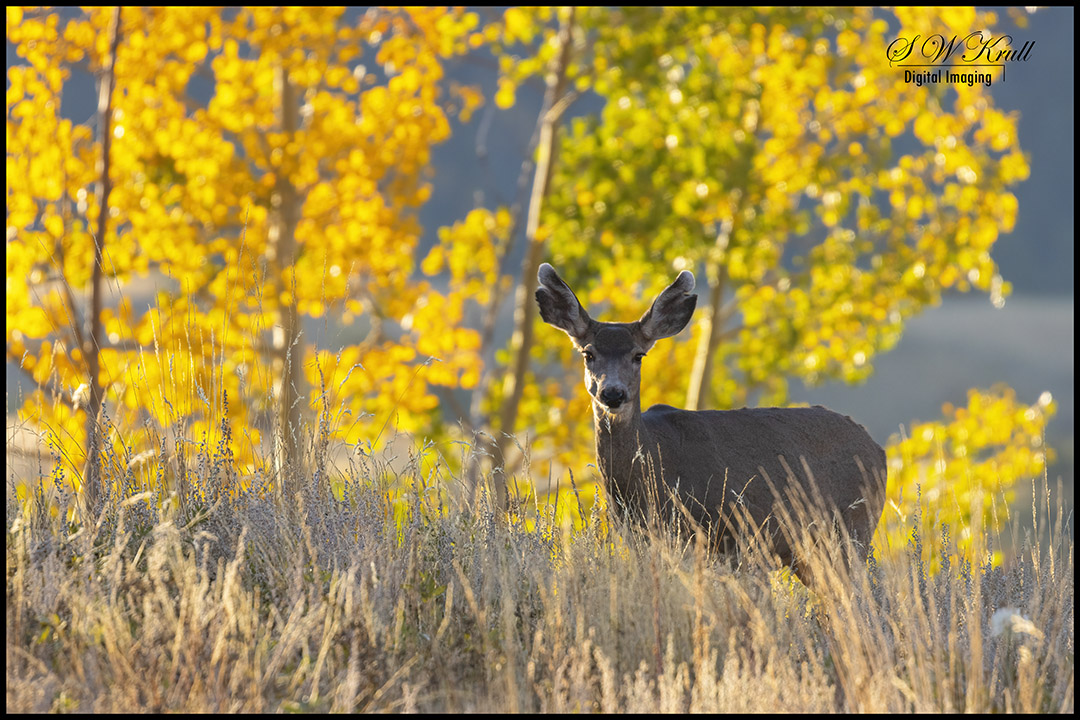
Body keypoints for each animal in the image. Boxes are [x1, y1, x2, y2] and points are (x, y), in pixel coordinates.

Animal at [535, 263, 887, 587]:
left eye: (638, 355)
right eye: (588, 354)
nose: (612, 393)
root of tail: (877, 449)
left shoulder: (723, 536)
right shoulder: (640, 539)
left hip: (852, 528)